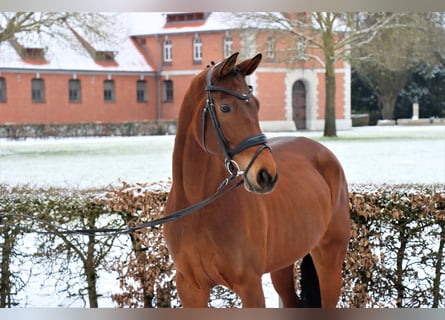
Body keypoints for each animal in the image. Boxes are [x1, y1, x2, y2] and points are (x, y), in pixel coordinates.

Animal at [164, 52, 350, 308]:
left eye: (256, 105)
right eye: (225, 107)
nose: (266, 175)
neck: (198, 207)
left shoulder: (250, 285)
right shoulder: (190, 288)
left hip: (329, 260)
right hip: (282, 265)